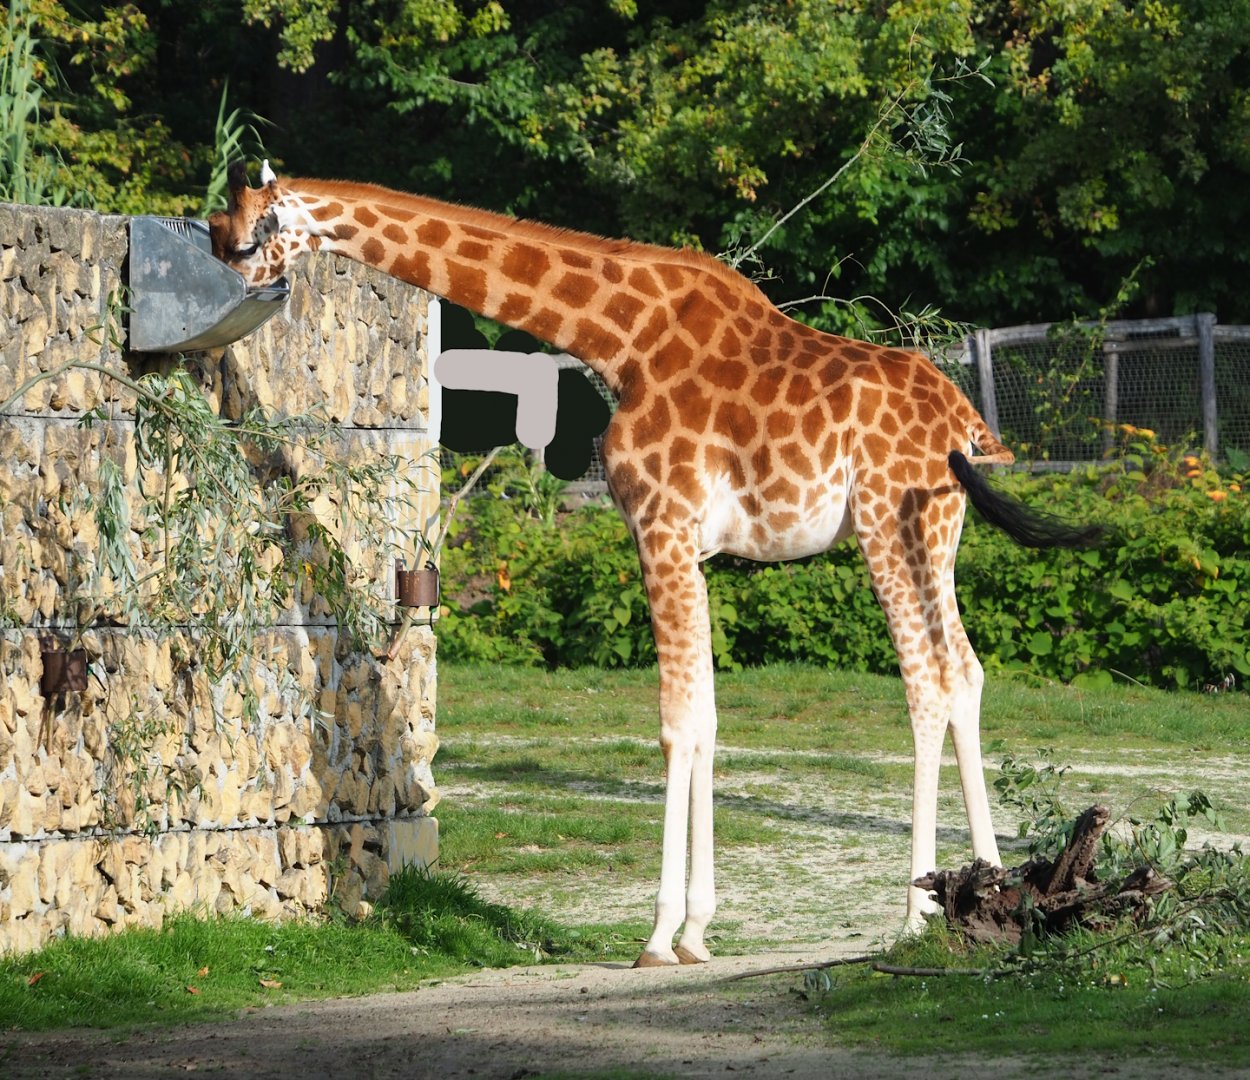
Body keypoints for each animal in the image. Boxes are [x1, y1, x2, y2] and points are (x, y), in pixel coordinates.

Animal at [210, 163, 1102, 968]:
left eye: (245, 236)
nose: (229, 306)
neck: (618, 336)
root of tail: (966, 424)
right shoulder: (694, 547)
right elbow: (705, 717)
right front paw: (699, 933)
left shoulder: (659, 525)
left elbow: (676, 722)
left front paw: (658, 935)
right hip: (939, 532)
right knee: (966, 673)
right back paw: (990, 895)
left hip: (887, 522)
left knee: (925, 684)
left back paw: (917, 914)